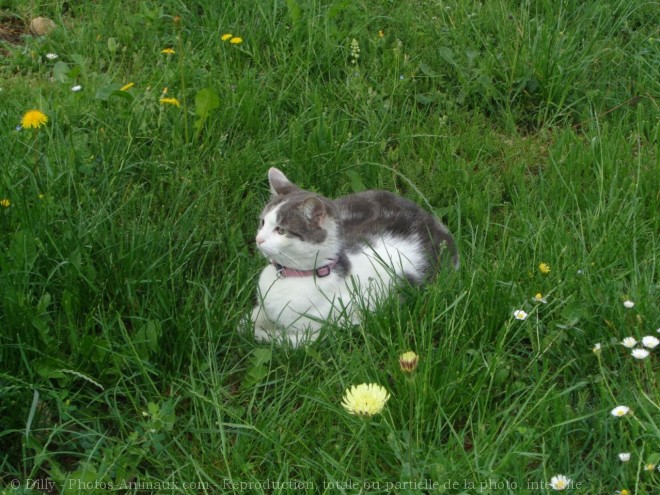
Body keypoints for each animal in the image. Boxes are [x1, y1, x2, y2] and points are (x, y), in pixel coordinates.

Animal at [248, 169, 458, 346]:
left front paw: (263, 334)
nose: (258, 239)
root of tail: (429, 218)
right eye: (263, 222)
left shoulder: (330, 328)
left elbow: (287, 341)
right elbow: (251, 319)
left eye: (281, 231)